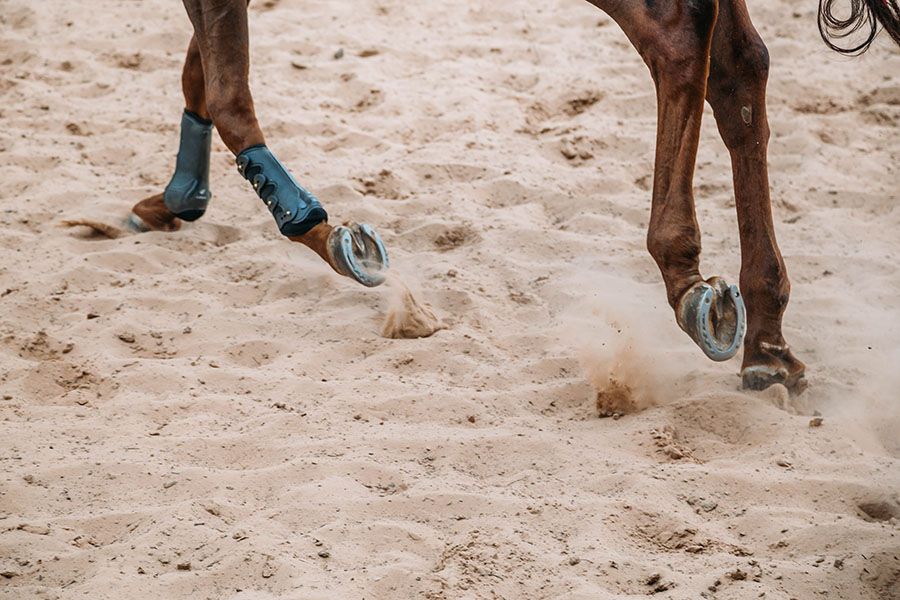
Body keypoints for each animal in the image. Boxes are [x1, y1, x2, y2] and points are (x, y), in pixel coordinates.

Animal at [126, 0, 900, 396]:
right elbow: (205, 74)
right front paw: (178, 197)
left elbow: (228, 91)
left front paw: (326, 232)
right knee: (739, 71)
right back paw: (767, 339)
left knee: (681, 36)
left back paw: (686, 278)